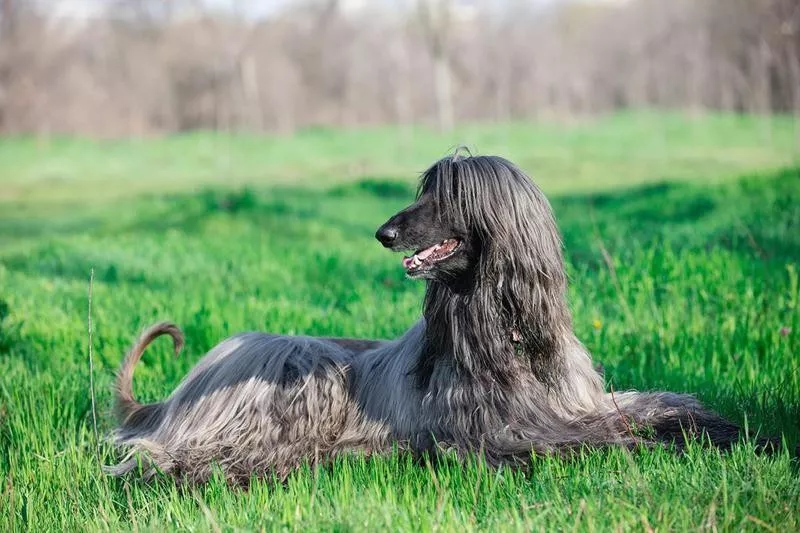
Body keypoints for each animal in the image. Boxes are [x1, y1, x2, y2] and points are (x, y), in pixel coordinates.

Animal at [109, 153, 752, 482]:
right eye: (421, 192)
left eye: (444, 197)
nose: (383, 233)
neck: (506, 332)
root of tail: (176, 394)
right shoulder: (502, 433)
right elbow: (603, 437)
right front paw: (656, 446)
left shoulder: (577, 400)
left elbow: (656, 405)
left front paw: (731, 430)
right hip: (302, 365)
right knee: (174, 457)